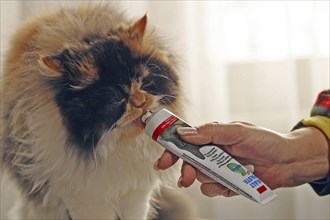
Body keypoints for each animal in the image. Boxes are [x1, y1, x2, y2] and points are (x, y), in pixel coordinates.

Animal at [0, 3, 186, 220]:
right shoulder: (87, 199)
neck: (119, 148)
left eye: (145, 82)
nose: (141, 103)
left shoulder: (137, 195)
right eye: (116, 97)